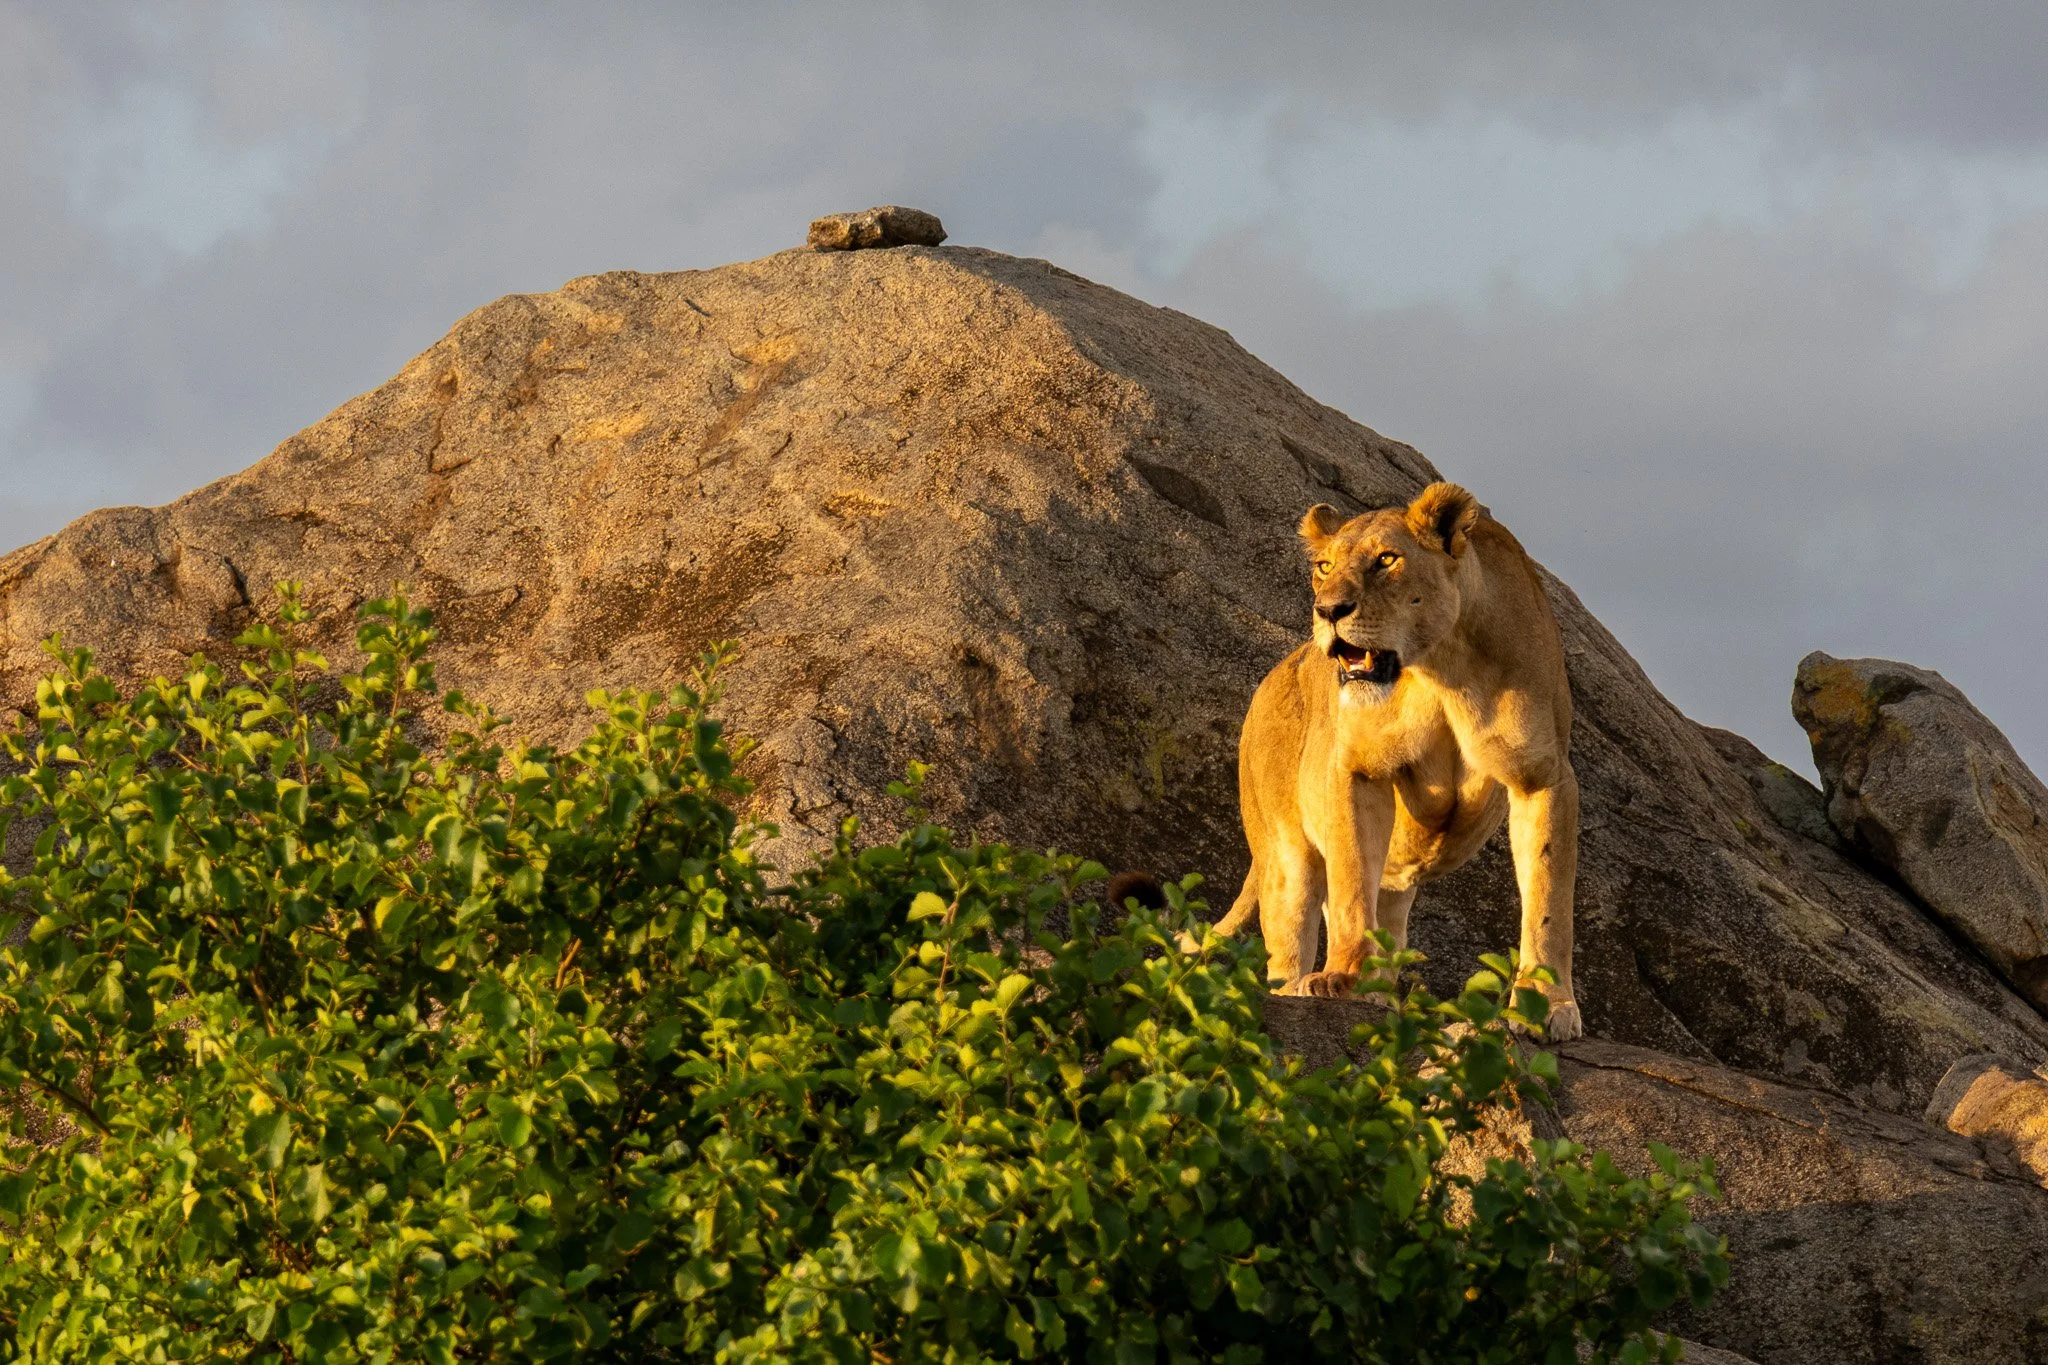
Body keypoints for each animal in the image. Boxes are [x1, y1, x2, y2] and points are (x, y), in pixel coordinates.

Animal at [1210, 481, 1583, 1041]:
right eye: (1323, 566)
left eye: (1386, 560)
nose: (1328, 610)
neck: (1441, 668)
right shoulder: (1356, 769)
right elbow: (1350, 888)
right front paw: (1342, 977)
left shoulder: (1543, 776)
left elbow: (1548, 902)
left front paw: (1545, 1004)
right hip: (1284, 857)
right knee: (1289, 947)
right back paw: (1308, 988)